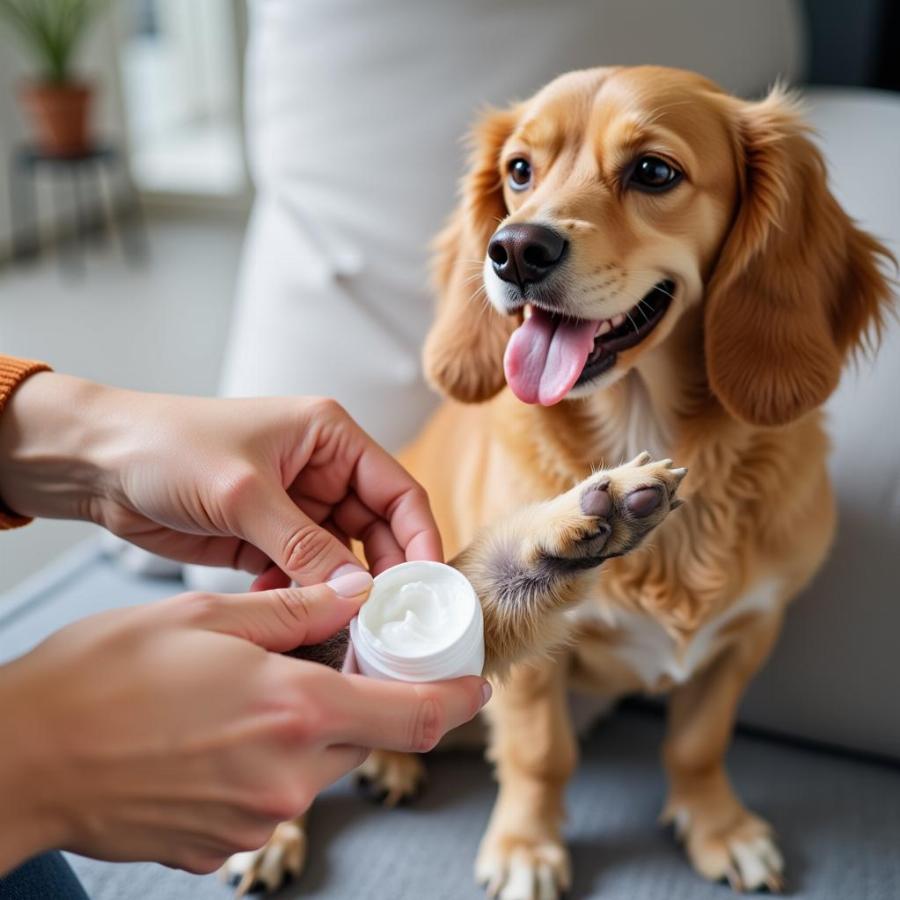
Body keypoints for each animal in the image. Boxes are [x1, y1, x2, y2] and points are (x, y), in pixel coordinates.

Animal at [227, 67, 892, 896]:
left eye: (654, 171)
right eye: (519, 170)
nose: (513, 250)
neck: (644, 421)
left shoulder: (747, 637)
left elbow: (698, 743)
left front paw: (717, 824)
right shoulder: (529, 663)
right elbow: (541, 755)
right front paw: (527, 847)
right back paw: (278, 829)